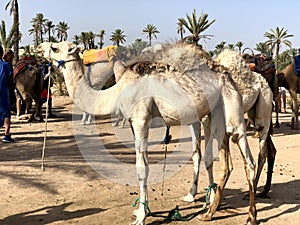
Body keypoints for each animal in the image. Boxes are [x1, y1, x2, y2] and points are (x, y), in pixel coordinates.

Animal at [37, 41, 258, 225]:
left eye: (55, 47)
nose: (39, 47)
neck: (117, 90)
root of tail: (227, 74)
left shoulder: (141, 118)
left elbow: (142, 169)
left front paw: (141, 217)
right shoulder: (132, 122)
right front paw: (140, 212)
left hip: (231, 106)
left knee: (247, 158)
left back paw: (248, 217)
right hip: (213, 112)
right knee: (220, 158)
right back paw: (210, 209)